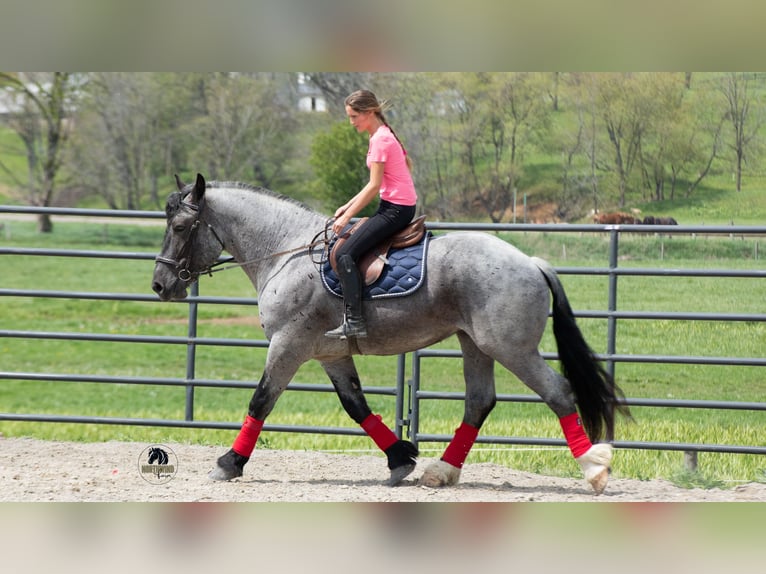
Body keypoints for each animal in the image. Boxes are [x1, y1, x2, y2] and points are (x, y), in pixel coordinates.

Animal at [152, 174, 631, 494]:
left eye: (180, 228)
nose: (160, 284)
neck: (287, 251)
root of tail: (530, 261)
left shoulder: (288, 345)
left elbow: (261, 401)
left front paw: (229, 463)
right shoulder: (330, 354)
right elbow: (356, 406)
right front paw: (401, 458)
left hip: (511, 348)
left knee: (557, 392)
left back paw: (594, 468)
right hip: (475, 344)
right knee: (479, 402)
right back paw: (442, 471)